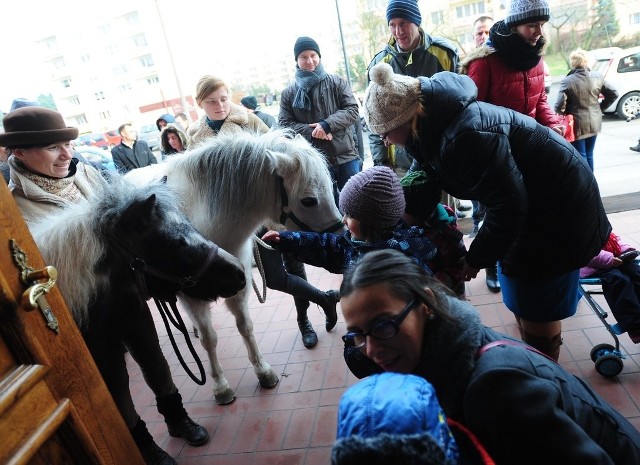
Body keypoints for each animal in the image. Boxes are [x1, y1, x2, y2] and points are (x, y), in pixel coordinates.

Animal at [126, 129, 344, 404]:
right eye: (308, 201)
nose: (340, 238)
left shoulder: (240, 283)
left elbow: (245, 326)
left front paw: (263, 371)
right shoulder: (191, 296)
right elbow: (209, 339)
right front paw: (220, 386)